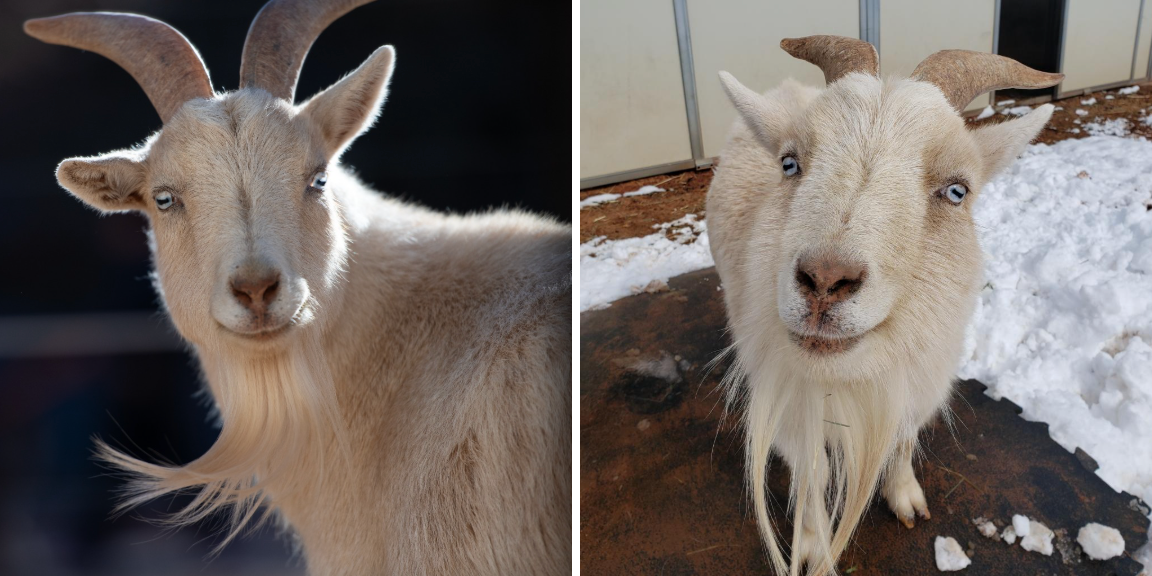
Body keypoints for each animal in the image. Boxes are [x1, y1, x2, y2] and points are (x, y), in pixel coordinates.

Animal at [707, 36, 1061, 575]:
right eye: (789, 163)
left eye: (956, 190)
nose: (825, 281)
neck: (854, 376)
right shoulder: (789, 405)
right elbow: (814, 472)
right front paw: (811, 546)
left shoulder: (918, 381)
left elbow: (904, 437)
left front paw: (905, 497)